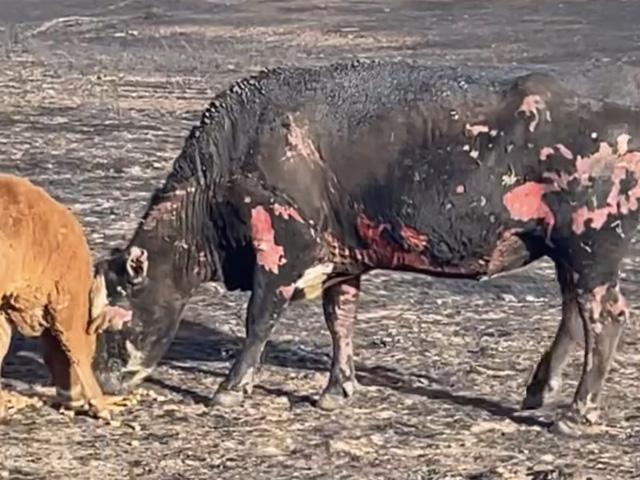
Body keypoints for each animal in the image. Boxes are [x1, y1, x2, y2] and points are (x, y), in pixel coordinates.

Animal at [92, 59, 640, 435]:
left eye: (112, 323)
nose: (100, 384)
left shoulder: (282, 248)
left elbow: (259, 320)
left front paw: (230, 390)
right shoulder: (342, 262)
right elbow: (341, 322)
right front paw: (337, 390)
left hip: (593, 252)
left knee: (605, 318)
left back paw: (576, 413)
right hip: (569, 255)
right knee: (573, 315)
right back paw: (539, 391)